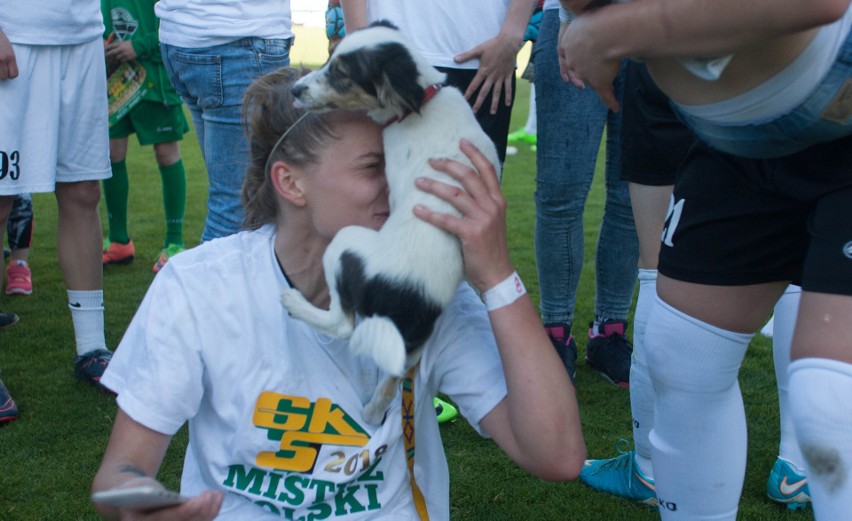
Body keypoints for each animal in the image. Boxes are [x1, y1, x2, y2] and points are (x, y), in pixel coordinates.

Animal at [282, 20, 502, 422]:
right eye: (329, 59)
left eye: (341, 74)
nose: (295, 90)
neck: (425, 100)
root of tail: (403, 303)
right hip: (416, 341)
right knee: (396, 374)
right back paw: (372, 410)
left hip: (345, 243)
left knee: (342, 326)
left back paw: (294, 302)